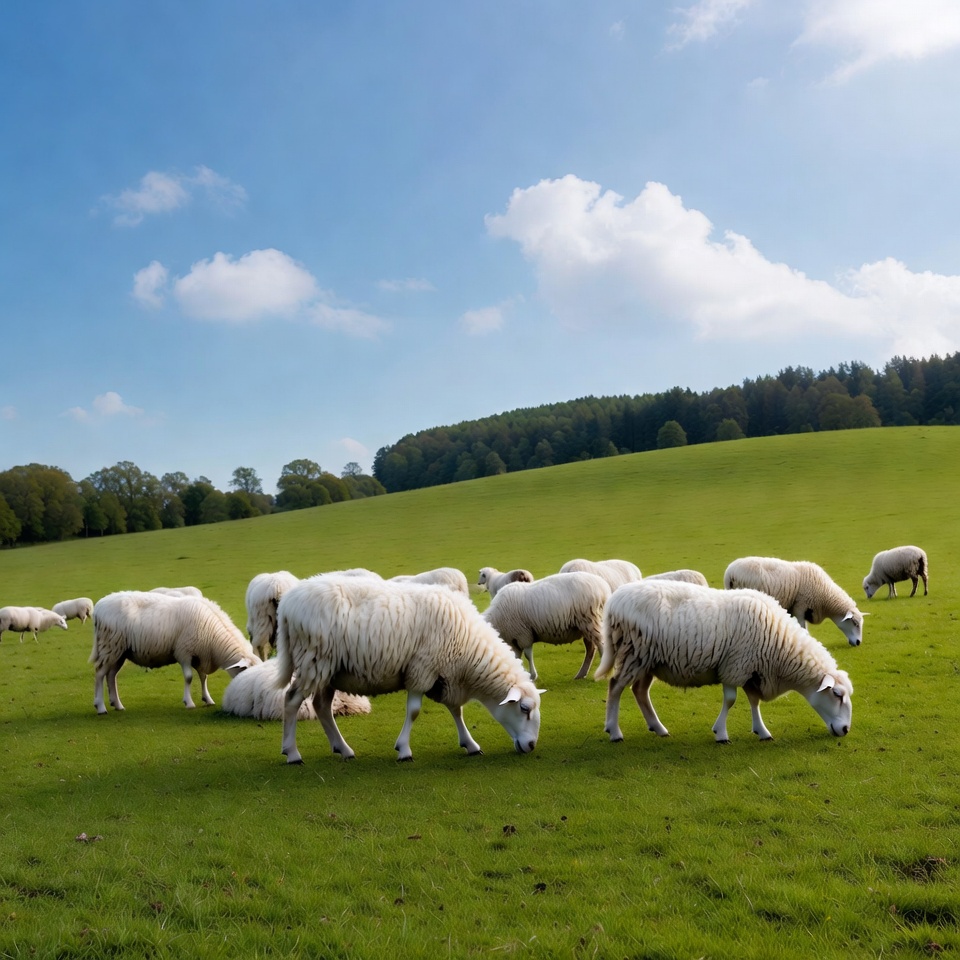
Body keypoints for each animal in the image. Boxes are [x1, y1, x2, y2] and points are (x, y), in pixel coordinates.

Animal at [90, 591, 261, 713]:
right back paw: (101, 707)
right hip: (110, 646)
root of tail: (98, 607)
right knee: (99, 674)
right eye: (245, 672)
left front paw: (207, 699)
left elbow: (203, 677)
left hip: (119, 651)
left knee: (111, 675)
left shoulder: (198, 655)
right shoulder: (184, 652)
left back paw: (117, 704)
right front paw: (189, 703)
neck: (213, 638)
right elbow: (189, 677)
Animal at [275, 575, 542, 764]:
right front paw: (404, 750)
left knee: (321, 706)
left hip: (328, 669)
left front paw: (470, 744)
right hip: (314, 660)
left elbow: (457, 711)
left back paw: (344, 749)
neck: (469, 649)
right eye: (524, 708)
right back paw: (292, 753)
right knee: (291, 700)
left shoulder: (445, 675)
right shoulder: (422, 669)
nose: (531, 746)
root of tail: (287, 604)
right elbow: (414, 711)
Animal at [483, 572, 612, 681]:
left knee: (601, 645)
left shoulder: (523, 635)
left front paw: (532, 676)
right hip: (586, 626)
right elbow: (516, 657)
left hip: (591, 621)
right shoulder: (514, 639)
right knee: (591, 649)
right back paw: (581, 674)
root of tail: (604, 588)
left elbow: (528, 655)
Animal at [595, 579, 853, 743]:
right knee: (616, 686)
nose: (845, 729)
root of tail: (614, 600)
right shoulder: (735, 666)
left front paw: (762, 731)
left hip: (647, 659)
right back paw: (614, 732)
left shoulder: (751, 669)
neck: (781, 647)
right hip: (634, 653)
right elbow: (730, 700)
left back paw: (658, 728)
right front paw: (721, 734)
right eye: (837, 694)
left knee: (639, 691)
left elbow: (754, 701)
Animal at [722, 556, 865, 647]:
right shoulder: (800, 607)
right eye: (855, 623)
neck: (826, 596)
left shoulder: (793, 609)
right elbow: (803, 629)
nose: (858, 643)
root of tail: (730, 574)